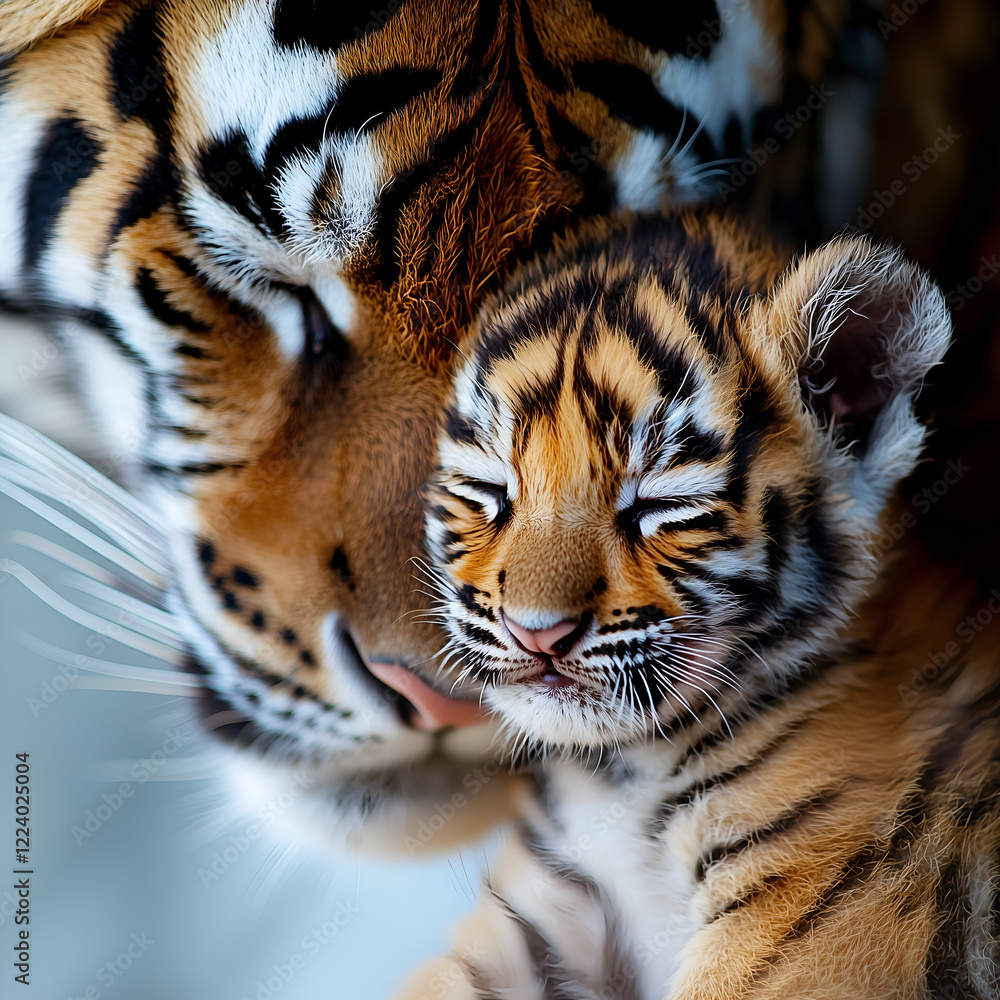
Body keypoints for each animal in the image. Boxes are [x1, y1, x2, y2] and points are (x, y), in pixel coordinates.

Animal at [415, 210, 1000, 999]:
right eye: (489, 490)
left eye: (660, 506)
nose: (536, 635)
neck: (623, 770)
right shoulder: (544, 908)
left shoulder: (807, 909)